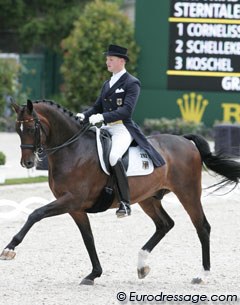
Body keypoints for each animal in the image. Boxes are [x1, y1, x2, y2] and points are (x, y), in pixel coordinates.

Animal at [0, 98, 240, 284]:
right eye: (17, 129)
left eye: (32, 129)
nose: (27, 163)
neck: (73, 150)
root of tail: (185, 140)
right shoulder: (75, 207)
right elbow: (88, 238)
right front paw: (93, 274)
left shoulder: (71, 200)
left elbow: (35, 214)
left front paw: (10, 248)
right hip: (148, 198)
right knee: (165, 224)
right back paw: (142, 265)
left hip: (188, 193)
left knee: (202, 227)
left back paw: (202, 275)